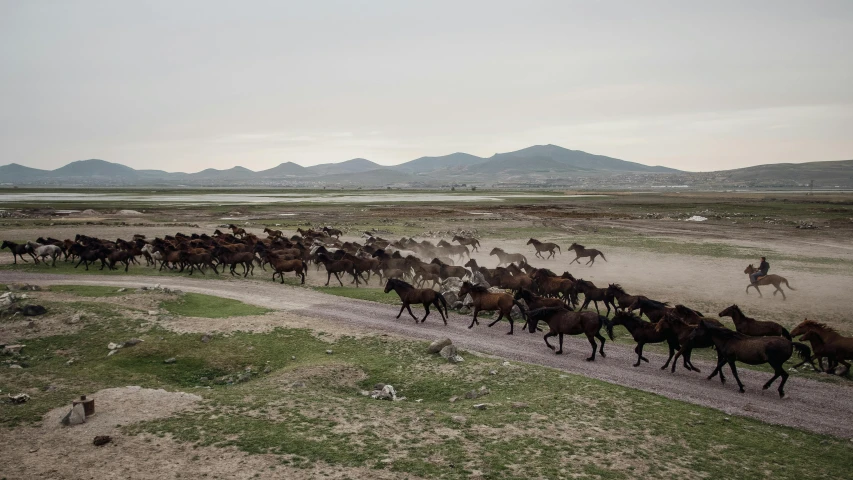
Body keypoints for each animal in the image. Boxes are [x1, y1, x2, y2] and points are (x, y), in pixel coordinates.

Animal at [684, 318, 812, 398]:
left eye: (696, 329)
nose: (689, 337)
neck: (729, 339)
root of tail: (790, 343)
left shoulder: (730, 359)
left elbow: (734, 372)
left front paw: (741, 387)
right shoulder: (728, 358)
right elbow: (719, 365)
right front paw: (712, 377)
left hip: (775, 362)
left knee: (784, 375)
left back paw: (779, 391)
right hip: (776, 363)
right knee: (779, 374)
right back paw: (766, 386)